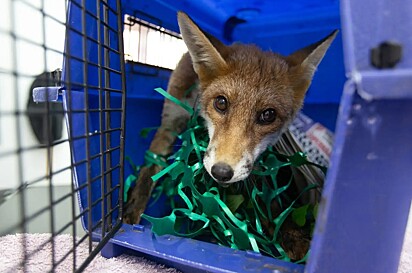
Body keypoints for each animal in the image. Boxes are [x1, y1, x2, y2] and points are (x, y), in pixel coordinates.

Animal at [124, 10, 336, 224]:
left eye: (268, 115)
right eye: (221, 103)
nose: (222, 172)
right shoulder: (170, 118)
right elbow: (149, 169)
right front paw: (130, 214)